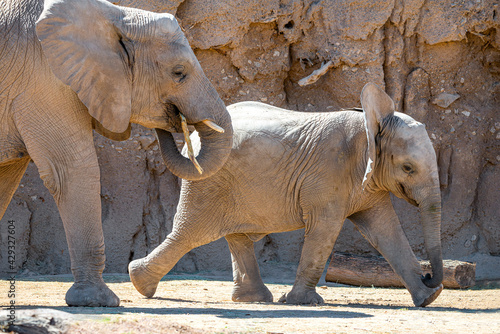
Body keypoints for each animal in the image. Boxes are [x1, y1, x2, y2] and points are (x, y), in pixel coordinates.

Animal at [0, 0, 232, 306]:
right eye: (179, 72)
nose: (171, 118)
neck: (114, 16)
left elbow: (5, 178)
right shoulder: (44, 81)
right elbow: (72, 171)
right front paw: (97, 301)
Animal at [130, 82, 446, 306]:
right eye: (408, 168)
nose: (429, 276)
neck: (373, 121)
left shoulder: (368, 180)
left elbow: (386, 230)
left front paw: (428, 298)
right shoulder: (330, 173)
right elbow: (324, 228)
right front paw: (303, 302)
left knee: (234, 236)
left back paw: (254, 299)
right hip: (209, 182)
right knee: (190, 233)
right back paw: (140, 282)